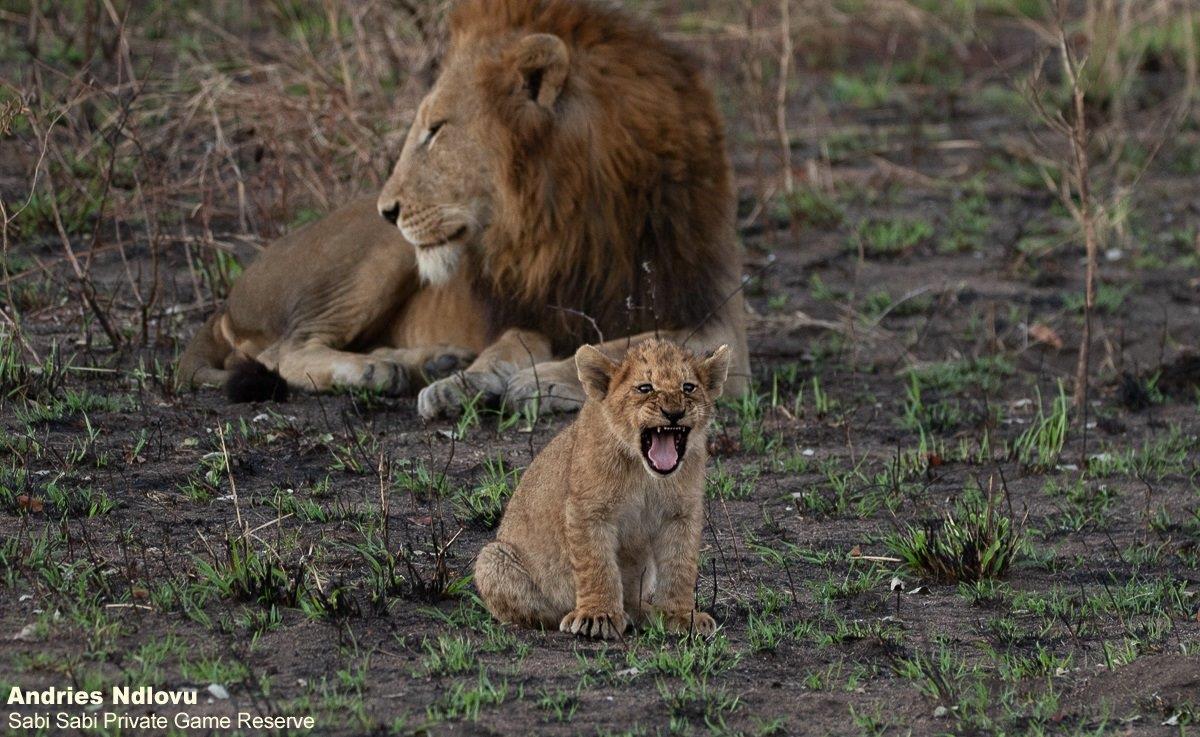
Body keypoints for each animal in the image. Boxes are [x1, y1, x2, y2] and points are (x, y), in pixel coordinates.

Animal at [177, 0, 749, 416]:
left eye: (436, 130)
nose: (388, 209)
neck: (572, 216)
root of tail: (227, 303)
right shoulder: (528, 310)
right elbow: (513, 345)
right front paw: (467, 382)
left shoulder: (718, 319)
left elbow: (634, 344)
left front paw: (536, 380)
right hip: (378, 260)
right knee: (282, 350)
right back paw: (384, 372)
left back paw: (425, 362)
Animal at [474, 339, 729, 638]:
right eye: (645, 388)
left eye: (688, 387)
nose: (674, 413)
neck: (646, 475)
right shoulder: (588, 510)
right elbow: (597, 565)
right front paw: (598, 616)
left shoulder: (681, 514)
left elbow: (680, 566)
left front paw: (679, 615)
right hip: (493, 557)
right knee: (541, 613)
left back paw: (646, 614)